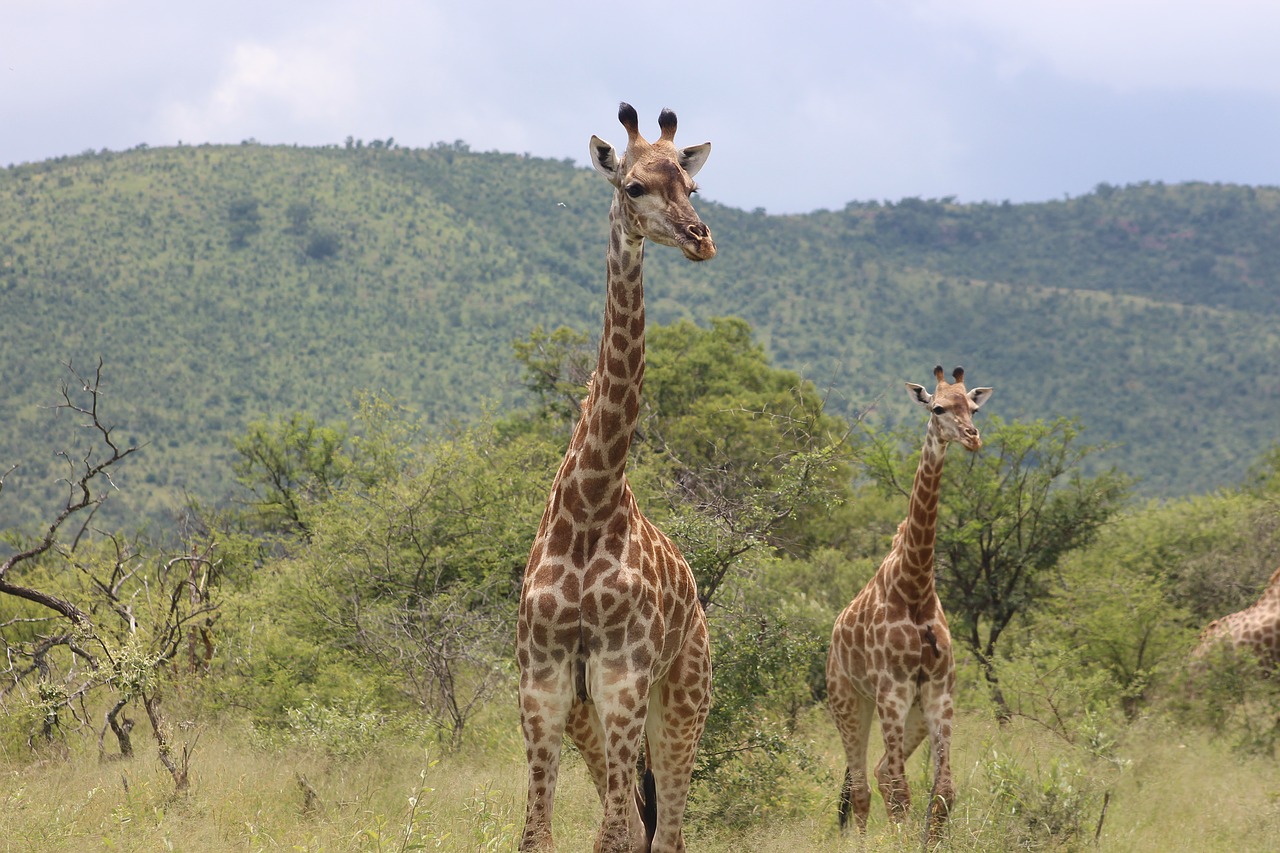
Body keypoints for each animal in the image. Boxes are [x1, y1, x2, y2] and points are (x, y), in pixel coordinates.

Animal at [517, 104, 721, 850]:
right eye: (634, 186)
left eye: (691, 187)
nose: (700, 238)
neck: (590, 504)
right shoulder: (544, 687)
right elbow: (539, 835)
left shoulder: (622, 681)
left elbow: (612, 837)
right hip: (593, 718)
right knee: (638, 823)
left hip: (683, 697)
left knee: (666, 832)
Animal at [824, 361, 993, 835]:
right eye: (938, 408)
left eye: (973, 407)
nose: (972, 437)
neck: (915, 588)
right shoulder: (892, 692)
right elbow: (901, 794)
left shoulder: (939, 693)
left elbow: (943, 793)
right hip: (848, 701)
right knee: (862, 787)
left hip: (911, 713)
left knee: (879, 774)